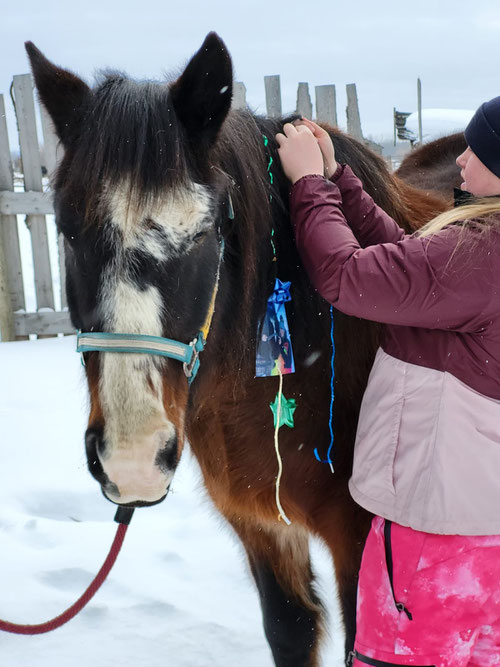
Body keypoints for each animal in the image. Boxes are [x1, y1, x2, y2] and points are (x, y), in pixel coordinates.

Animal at [25, 34, 450, 664]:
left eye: (203, 233)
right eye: (67, 229)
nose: (133, 460)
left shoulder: (361, 546)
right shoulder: (263, 532)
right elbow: (289, 630)